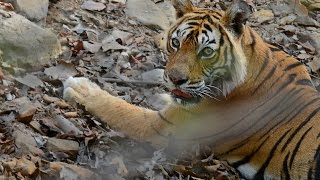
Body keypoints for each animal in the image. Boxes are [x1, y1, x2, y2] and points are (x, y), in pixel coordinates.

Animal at [62, 0, 320, 179]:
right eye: (175, 42)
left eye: (206, 52)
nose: (175, 80)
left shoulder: (163, 127)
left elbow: (121, 110)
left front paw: (80, 87)